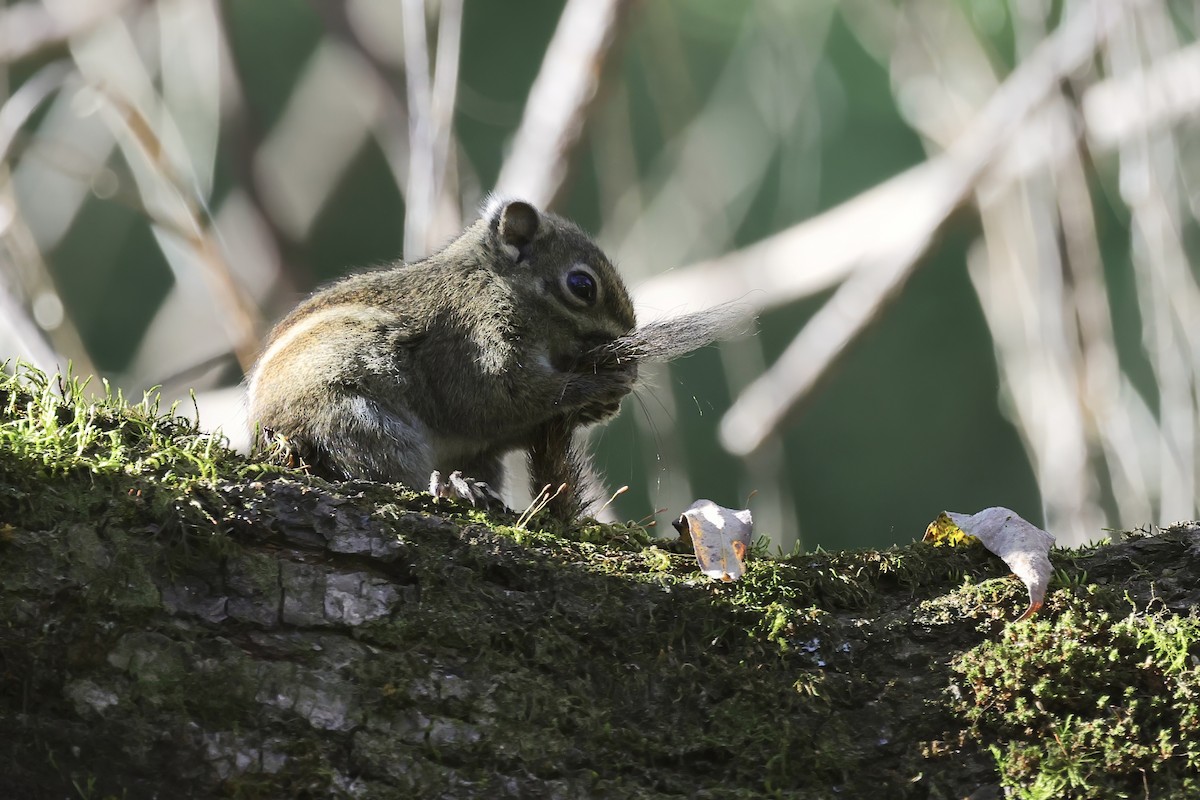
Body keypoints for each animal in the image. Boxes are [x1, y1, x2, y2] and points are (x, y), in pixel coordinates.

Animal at [247, 198, 745, 520]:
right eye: (581, 286)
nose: (628, 351)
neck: (497, 280)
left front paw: (604, 402)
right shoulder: (472, 339)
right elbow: (499, 397)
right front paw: (598, 386)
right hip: (354, 418)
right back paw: (450, 488)